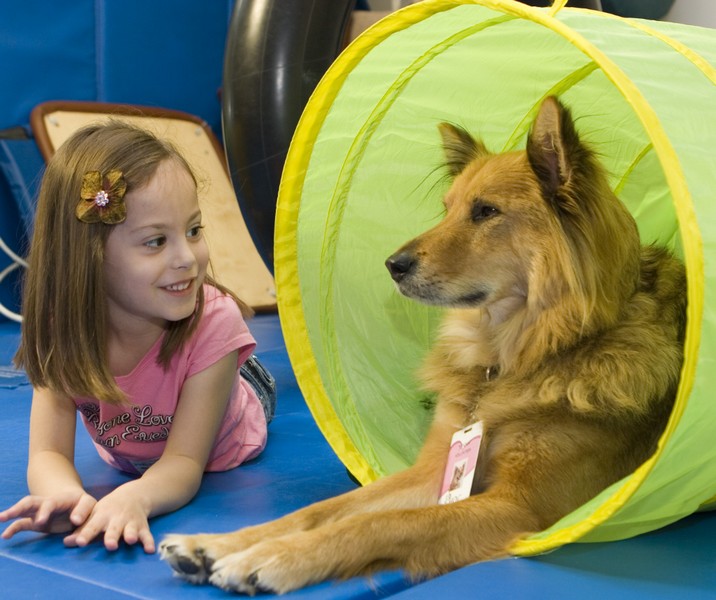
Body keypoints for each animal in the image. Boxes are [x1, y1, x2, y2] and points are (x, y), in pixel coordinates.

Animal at [159, 96, 684, 592]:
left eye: (486, 211)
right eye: (447, 209)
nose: (393, 264)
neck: (515, 359)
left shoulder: (519, 505)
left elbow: (385, 524)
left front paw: (272, 559)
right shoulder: (436, 468)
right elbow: (325, 509)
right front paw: (219, 543)